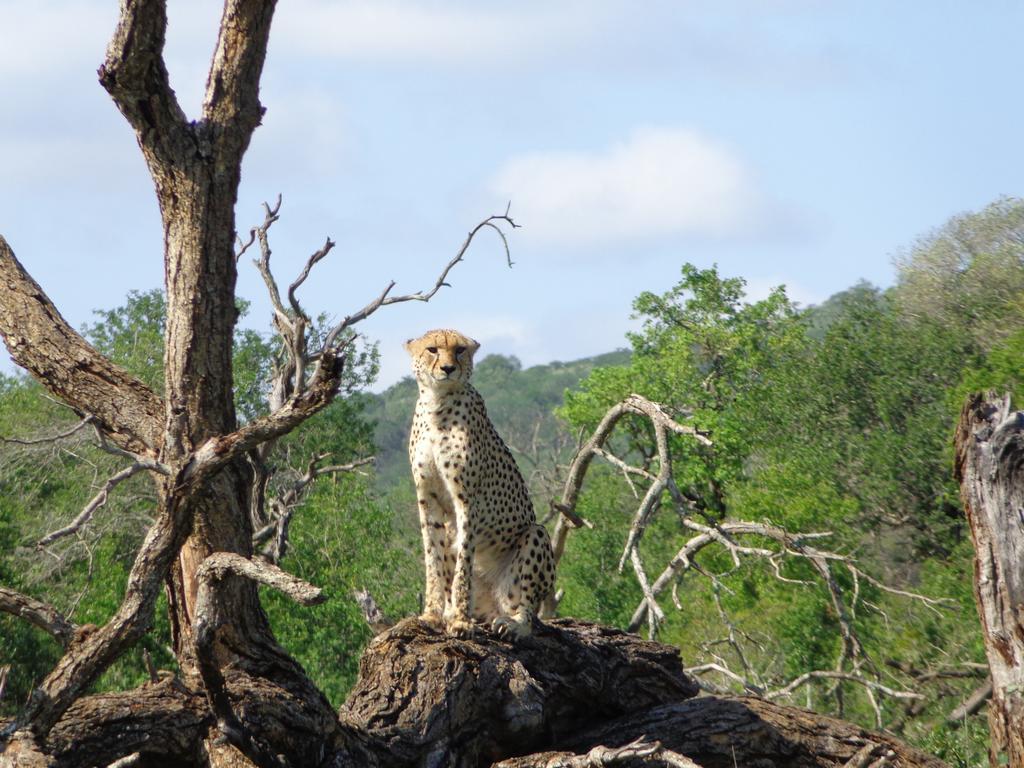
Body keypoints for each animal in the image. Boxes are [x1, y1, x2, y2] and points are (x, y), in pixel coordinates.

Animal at [403, 329, 557, 638]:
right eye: (432, 349)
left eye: (460, 350)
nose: (448, 368)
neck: (437, 403)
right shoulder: (428, 498)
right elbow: (433, 559)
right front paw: (433, 615)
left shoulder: (467, 500)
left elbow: (463, 561)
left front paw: (461, 622)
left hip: (535, 536)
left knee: (527, 610)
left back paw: (512, 623)